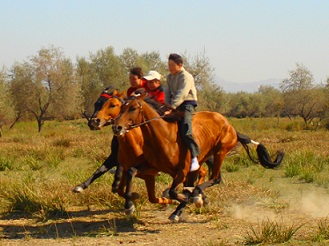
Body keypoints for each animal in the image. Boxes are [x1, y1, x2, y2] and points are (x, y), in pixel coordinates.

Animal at [111, 91, 284, 221]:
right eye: (121, 107)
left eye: (133, 108)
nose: (117, 127)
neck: (163, 137)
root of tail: (230, 126)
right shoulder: (153, 167)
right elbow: (131, 171)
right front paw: (129, 205)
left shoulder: (180, 171)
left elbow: (174, 192)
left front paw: (191, 198)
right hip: (204, 158)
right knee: (203, 176)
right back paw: (184, 205)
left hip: (220, 152)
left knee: (214, 178)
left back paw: (193, 198)